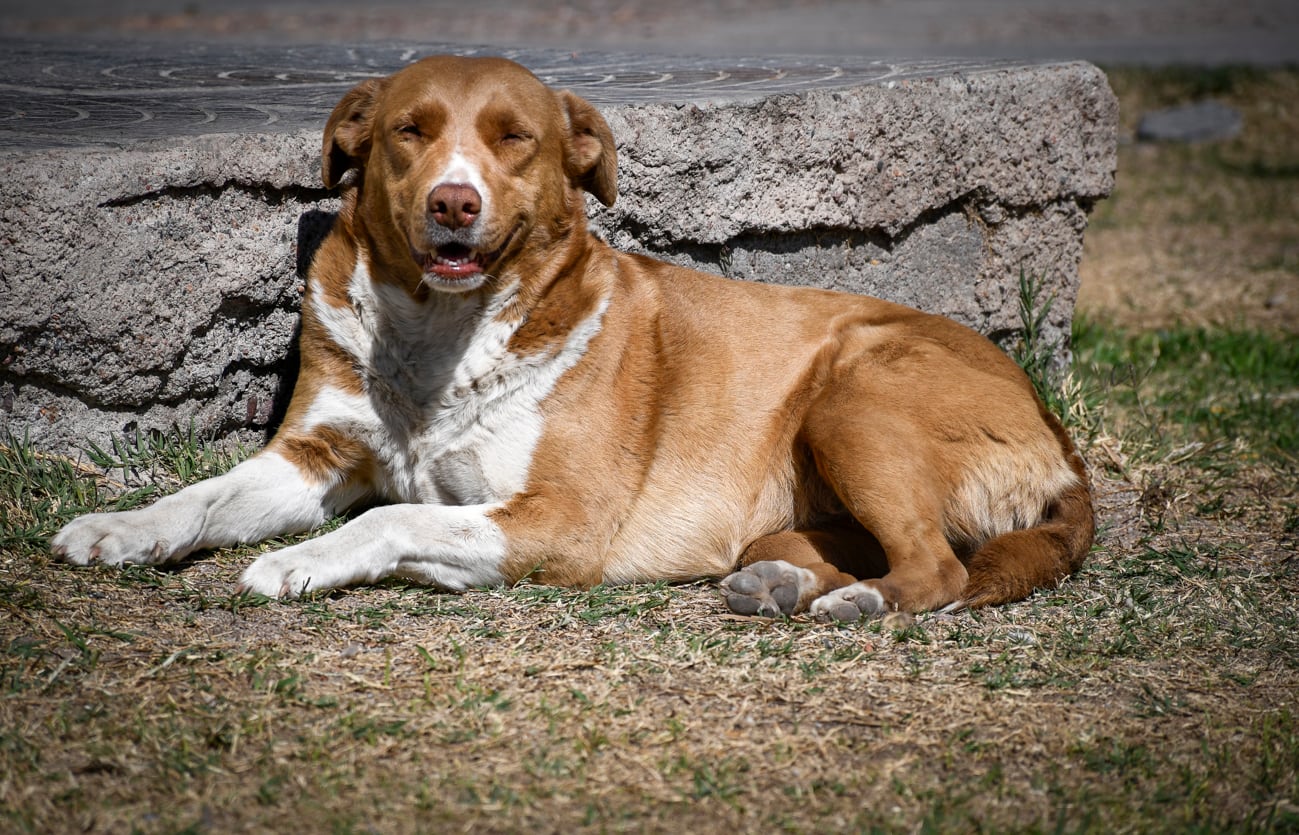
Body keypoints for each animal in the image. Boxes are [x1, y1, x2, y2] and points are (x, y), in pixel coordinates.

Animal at [55, 55, 1096, 618]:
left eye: (515, 138)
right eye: (408, 131)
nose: (453, 202)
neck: (437, 337)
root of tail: (1055, 432)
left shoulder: (560, 519)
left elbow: (390, 518)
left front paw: (298, 561)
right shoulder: (315, 453)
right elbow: (202, 495)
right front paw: (121, 527)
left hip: (854, 397)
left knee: (938, 566)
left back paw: (853, 601)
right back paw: (777, 582)